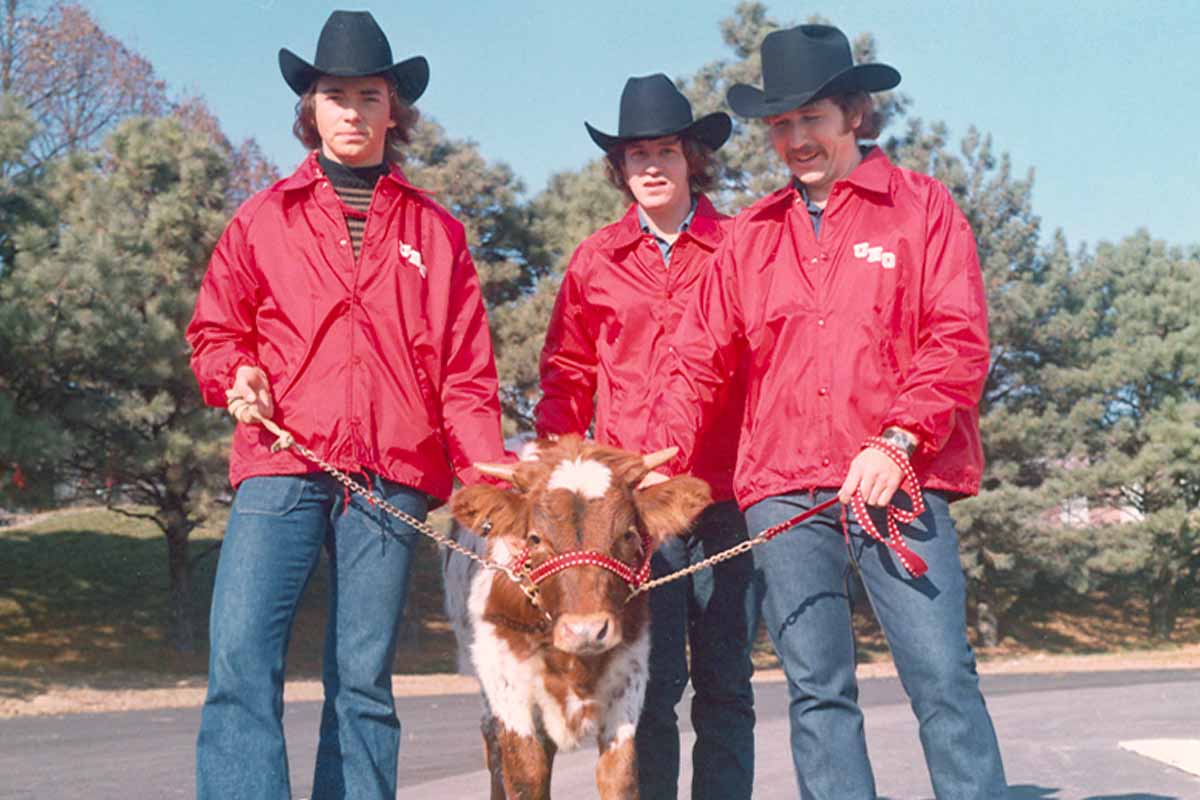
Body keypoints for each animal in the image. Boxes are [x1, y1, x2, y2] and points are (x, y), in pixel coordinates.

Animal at [451, 438, 710, 800]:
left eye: (629, 534)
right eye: (535, 539)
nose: (585, 630)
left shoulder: (626, 682)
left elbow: (619, 775)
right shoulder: (511, 688)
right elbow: (526, 775)